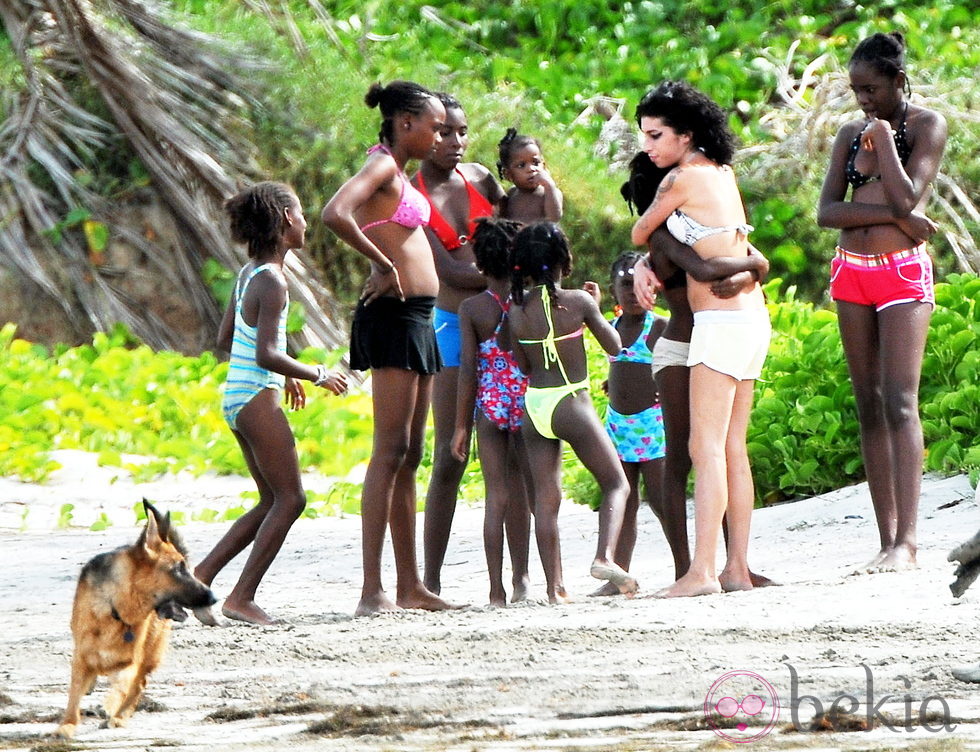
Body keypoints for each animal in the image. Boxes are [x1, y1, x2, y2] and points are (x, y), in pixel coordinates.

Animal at [57, 496, 214, 736]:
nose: (214, 597)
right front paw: (67, 725)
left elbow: (123, 684)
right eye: (179, 569)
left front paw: (111, 706)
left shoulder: (130, 661)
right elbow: (74, 695)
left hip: (151, 652)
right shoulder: (81, 658)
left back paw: (119, 716)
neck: (116, 608)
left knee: (139, 684)